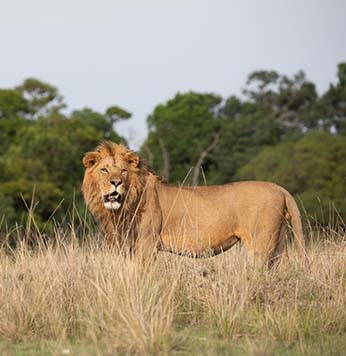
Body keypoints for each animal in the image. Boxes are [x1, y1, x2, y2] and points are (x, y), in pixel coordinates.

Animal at [82, 141, 306, 268]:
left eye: (123, 171)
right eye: (104, 170)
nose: (116, 183)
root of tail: (280, 188)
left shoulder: (146, 243)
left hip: (261, 242)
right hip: (279, 240)